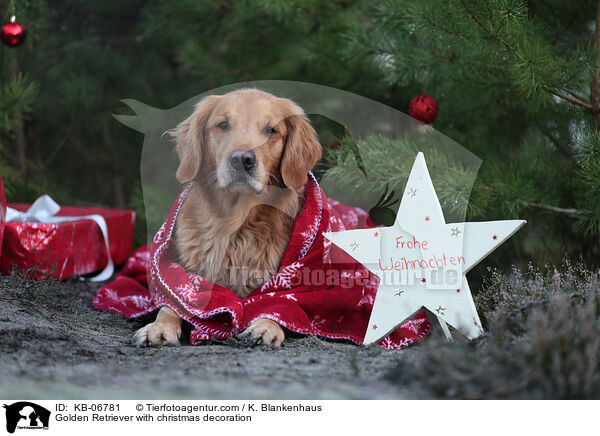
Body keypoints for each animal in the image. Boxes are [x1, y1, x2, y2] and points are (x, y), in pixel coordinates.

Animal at [135, 88, 324, 348]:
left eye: (271, 130)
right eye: (223, 125)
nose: (242, 159)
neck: (234, 226)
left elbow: (279, 304)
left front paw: (265, 327)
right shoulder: (184, 279)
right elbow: (171, 305)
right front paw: (159, 327)